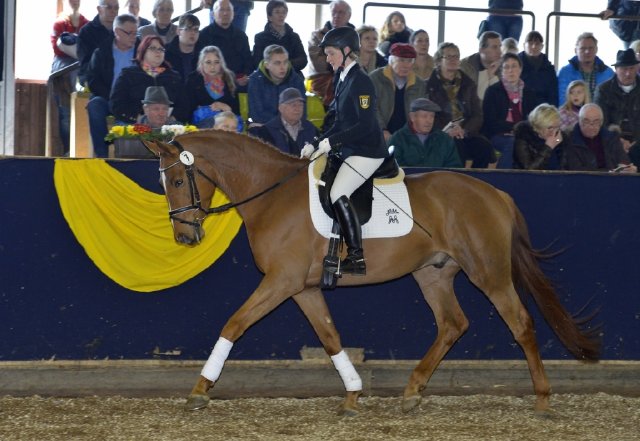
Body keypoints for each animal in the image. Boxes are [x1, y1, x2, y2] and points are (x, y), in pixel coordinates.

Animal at [144, 131, 600, 416]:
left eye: (179, 181)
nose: (185, 237)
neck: (271, 193)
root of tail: (496, 193)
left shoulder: (280, 282)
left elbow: (234, 323)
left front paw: (200, 390)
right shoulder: (301, 288)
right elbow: (329, 336)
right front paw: (352, 395)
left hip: (487, 272)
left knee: (520, 323)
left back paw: (542, 400)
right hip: (433, 274)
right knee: (453, 324)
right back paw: (412, 393)